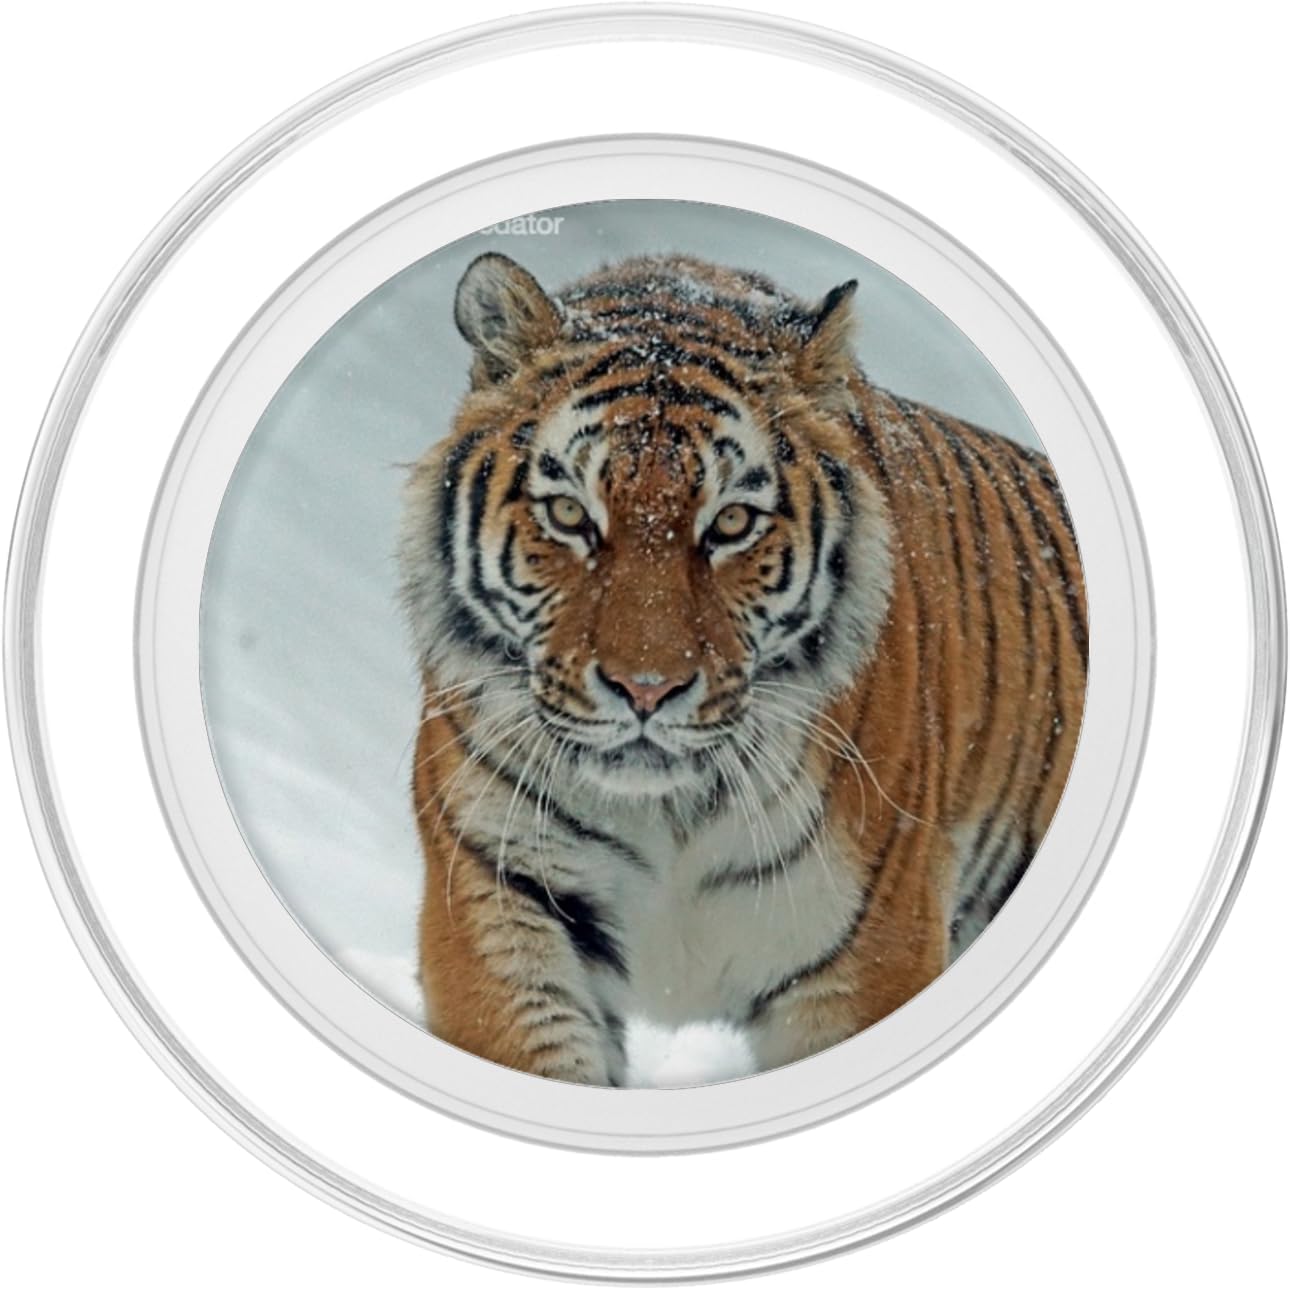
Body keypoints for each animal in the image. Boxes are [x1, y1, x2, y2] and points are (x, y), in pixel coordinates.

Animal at [398, 249, 1087, 1086]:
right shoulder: (499, 904)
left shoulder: (867, 955)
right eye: (568, 514)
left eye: (730, 523)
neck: (667, 815)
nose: (646, 689)